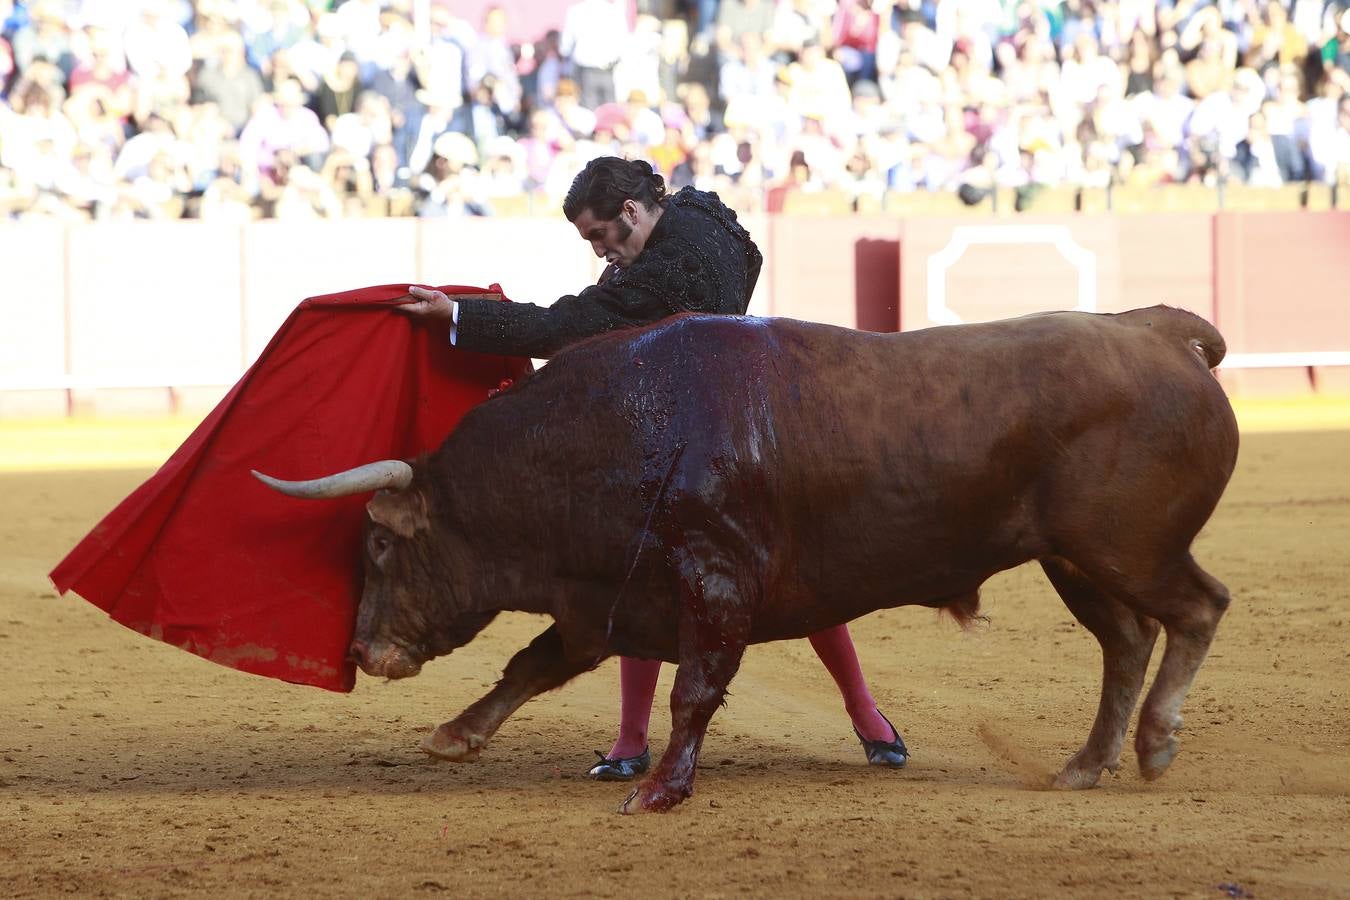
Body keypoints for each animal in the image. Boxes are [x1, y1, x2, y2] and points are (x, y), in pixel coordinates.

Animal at [255, 306, 1242, 814]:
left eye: (382, 544)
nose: (360, 650)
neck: (615, 433)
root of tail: (1160, 332)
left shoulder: (715, 582)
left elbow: (693, 691)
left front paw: (660, 792)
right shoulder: (602, 600)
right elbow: (532, 665)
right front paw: (456, 734)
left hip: (1123, 547)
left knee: (1197, 608)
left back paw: (1154, 745)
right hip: (1074, 561)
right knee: (1126, 640)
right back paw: (1086, 763)